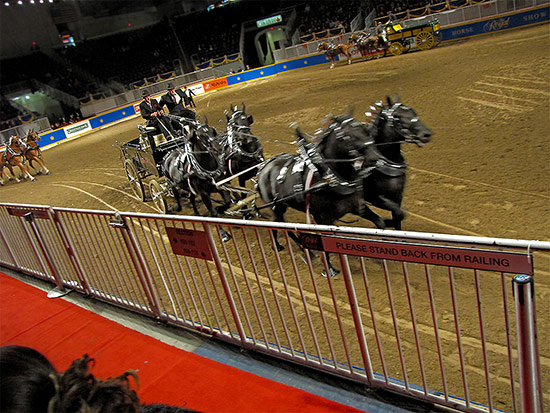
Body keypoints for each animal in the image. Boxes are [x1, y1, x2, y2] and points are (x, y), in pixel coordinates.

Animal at [258, 112, 376, 276]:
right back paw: (281, 246)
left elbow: (380, 223)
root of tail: (263, 169)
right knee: (278, 223)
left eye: (365, 129)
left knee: (280, 224)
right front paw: (330, 269)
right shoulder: (323, 219)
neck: (328, 177)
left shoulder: (354, 207)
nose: (374, 158)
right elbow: (324, 244)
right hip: (276, 206)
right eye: (348, 136)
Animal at [362, 97, 436, 232]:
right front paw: (386, 222)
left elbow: (398, 216)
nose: (426, 134)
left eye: (414, 112)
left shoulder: (397, 196)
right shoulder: (373, 197)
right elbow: (395, 215)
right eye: (397, 117)